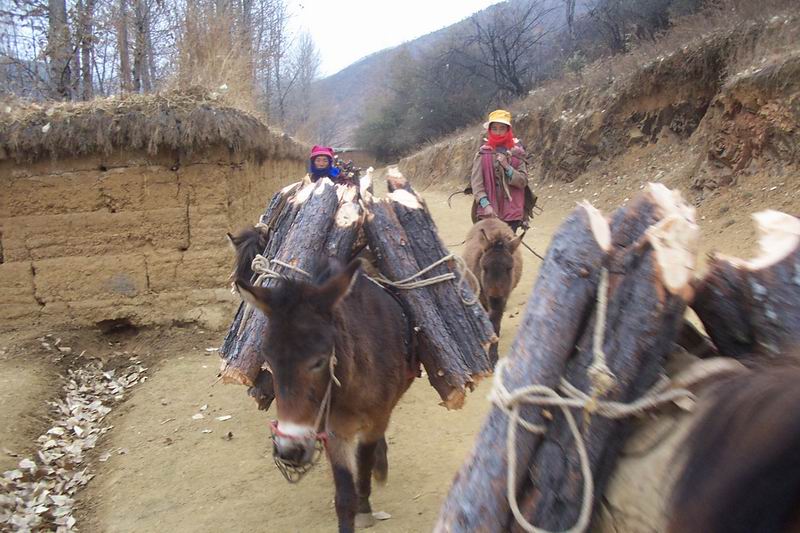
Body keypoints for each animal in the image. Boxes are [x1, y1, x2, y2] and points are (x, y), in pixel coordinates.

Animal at [231, 232, 416, 533]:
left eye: (319, 361)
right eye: (268, 359)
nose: (289, 451)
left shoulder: (375, 419)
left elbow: (363, 462)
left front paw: (365, 507)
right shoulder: (331, 428)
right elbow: (344, 495)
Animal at [462, 218, 523, 364]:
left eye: (509, 268)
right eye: (484, 268)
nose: (495, 299)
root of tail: (490, 218)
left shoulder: (503, 297)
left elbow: (496, 323)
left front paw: (493, 356)